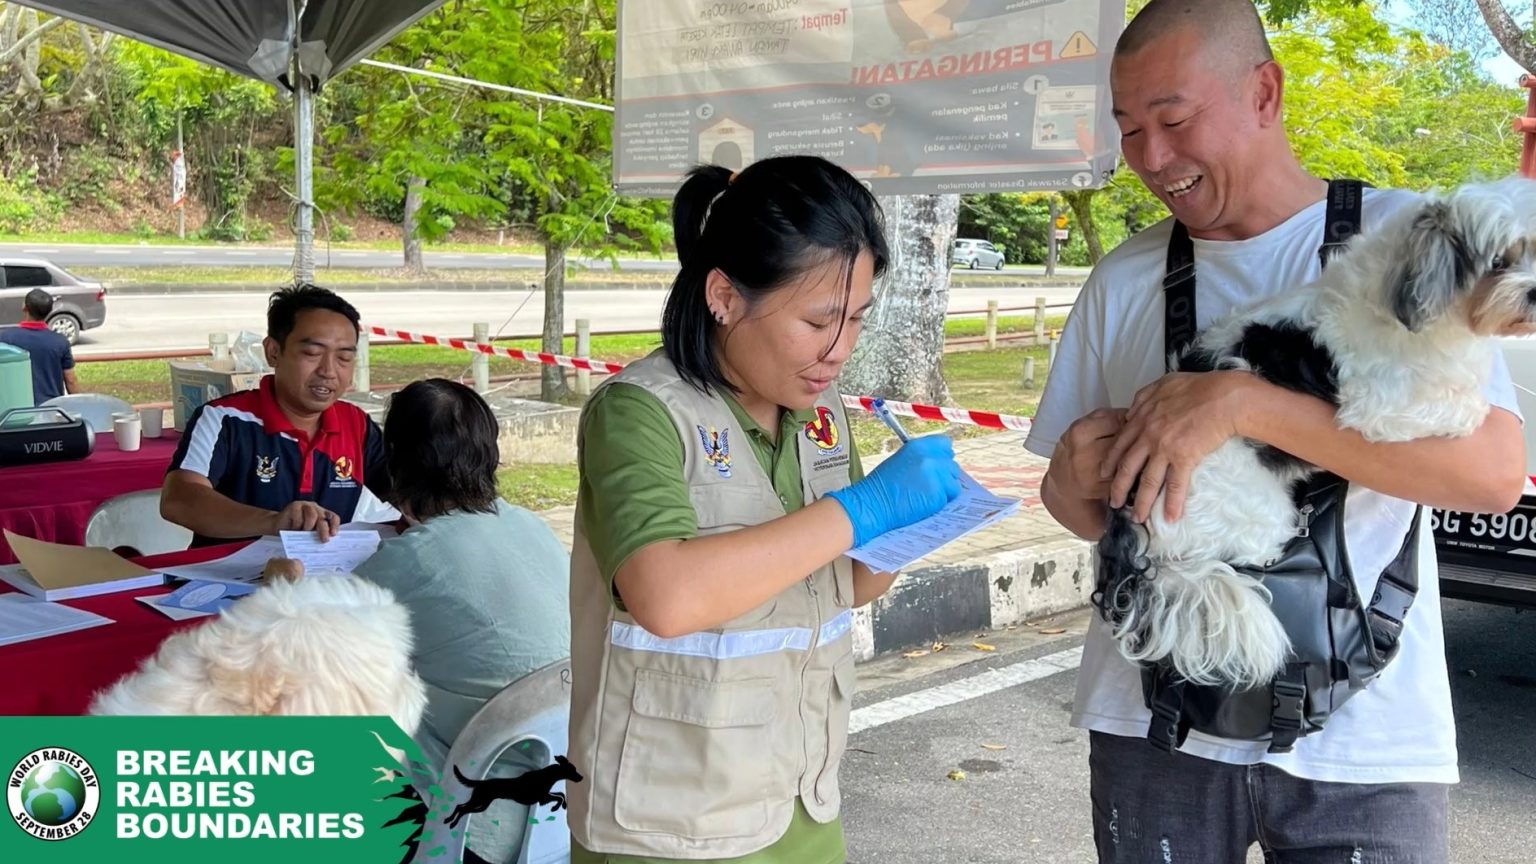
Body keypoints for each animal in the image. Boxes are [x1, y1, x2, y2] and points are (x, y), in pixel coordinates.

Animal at [1099, 175, 1536, 685]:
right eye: (1499, 262)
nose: (1534, 293)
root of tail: (1137, 535)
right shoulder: (1379, 404)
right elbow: (1460, 405)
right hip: (1261, 511)